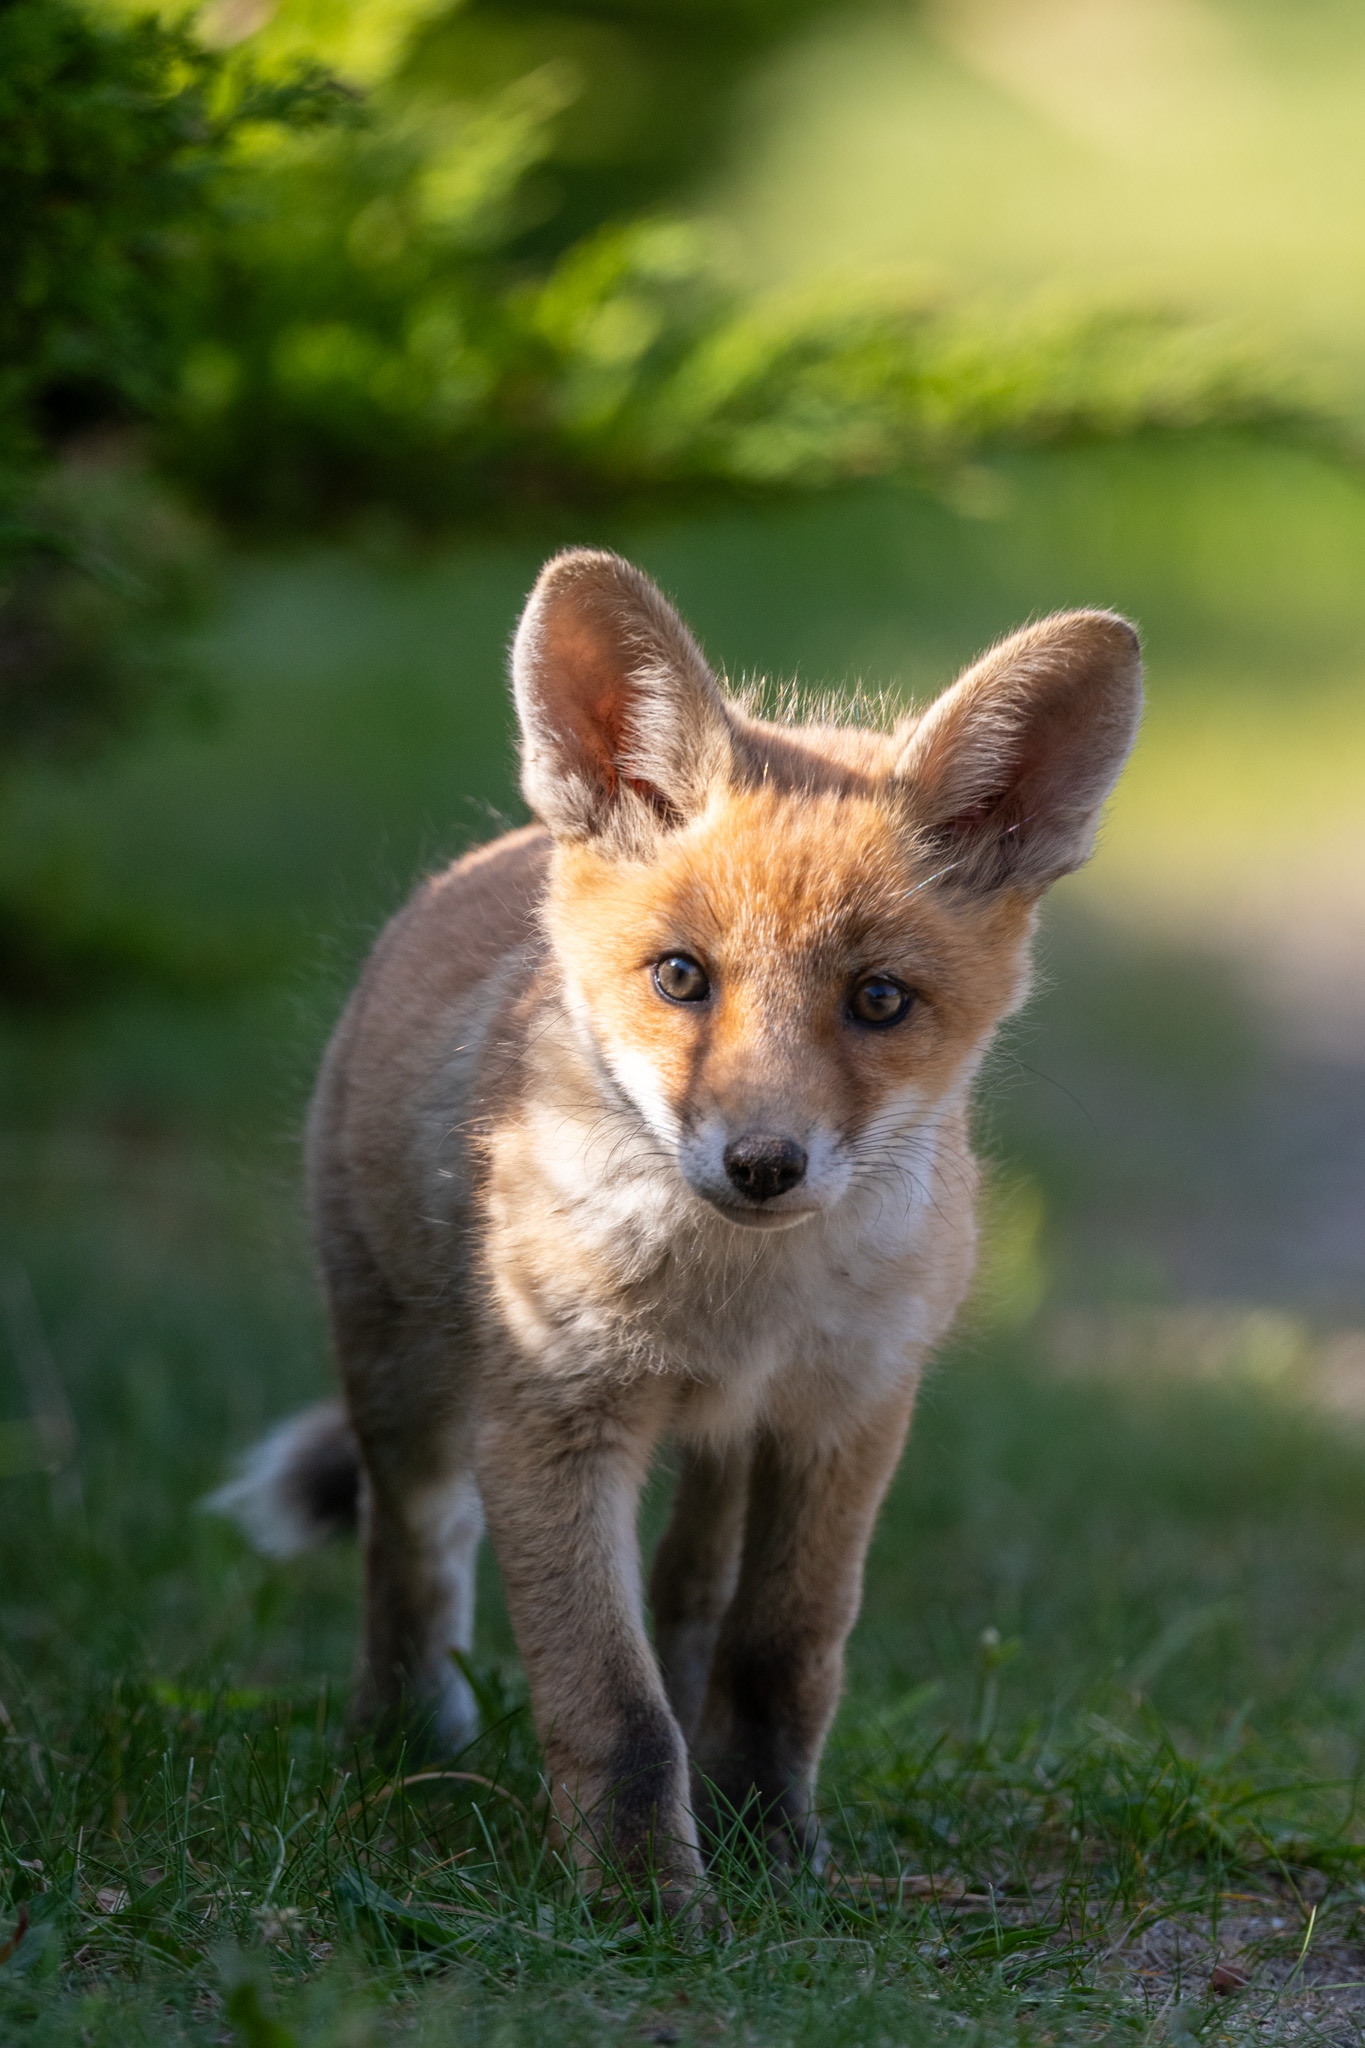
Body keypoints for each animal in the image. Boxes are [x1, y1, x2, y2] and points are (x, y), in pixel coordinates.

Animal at [210, 548, 1141, 1911]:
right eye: (681, 977)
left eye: (879, 1000)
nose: (761, 1163)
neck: (740, 1301)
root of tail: (491, 853)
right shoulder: (552, 1416)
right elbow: (610, 1698)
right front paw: (641, 1894)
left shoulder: (845, 1413)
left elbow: (782, 1647)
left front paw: (771, 1840)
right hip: (400, 1373)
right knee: (413, 1542)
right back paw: (405, 1739)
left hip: (722, 1446)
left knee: (692, 1593)